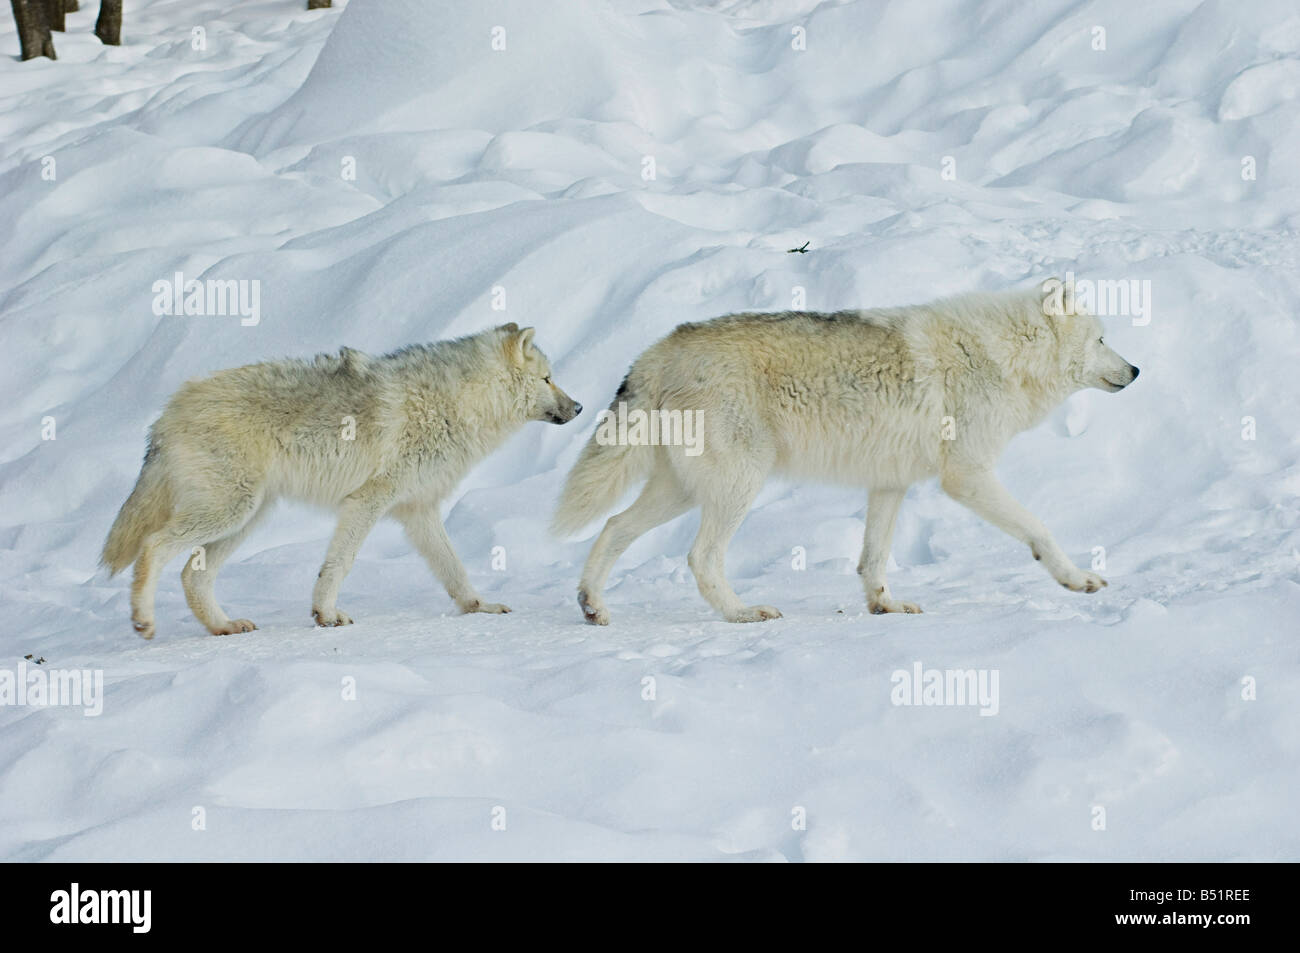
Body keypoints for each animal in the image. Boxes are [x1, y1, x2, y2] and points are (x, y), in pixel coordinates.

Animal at [102, 324, 581, 639]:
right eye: (547, 378)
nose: (578, 407)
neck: (457, 404)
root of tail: (167, 411)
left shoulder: (418, 510)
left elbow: (455, 570)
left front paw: (480, 608)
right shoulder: (367, 500)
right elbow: (340, 564)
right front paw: (327, 615)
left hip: (246, 518)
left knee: (192, 575)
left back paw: (223, 626)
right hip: (229, 512)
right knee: (153, 548)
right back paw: (144, 620)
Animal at [554, 283, 1139, 624]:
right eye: (1102, 339)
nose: (1135, 370)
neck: (1003, 355)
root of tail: (654, 353)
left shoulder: (890, 483)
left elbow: (871, 559)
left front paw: (885, 606)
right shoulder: (967, 476)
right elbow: (1040, 529)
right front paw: (1078, 579)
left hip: (682, 492)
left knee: (613, 528)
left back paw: (592, 606)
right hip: (737, 486)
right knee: (700, 557)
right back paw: (743, 613)